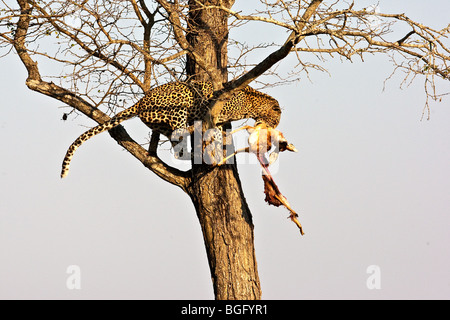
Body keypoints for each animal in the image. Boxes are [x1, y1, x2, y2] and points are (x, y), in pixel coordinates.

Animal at [60, 80, 282, 178]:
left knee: (176, 147)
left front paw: (219, 149)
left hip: (160, 123)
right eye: (276, 120)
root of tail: (140, 102)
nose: (273, 127)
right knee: (179, 132)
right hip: (178, 106)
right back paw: (193, 130)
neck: (254, 103)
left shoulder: (219, 122)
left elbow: (218, 133)